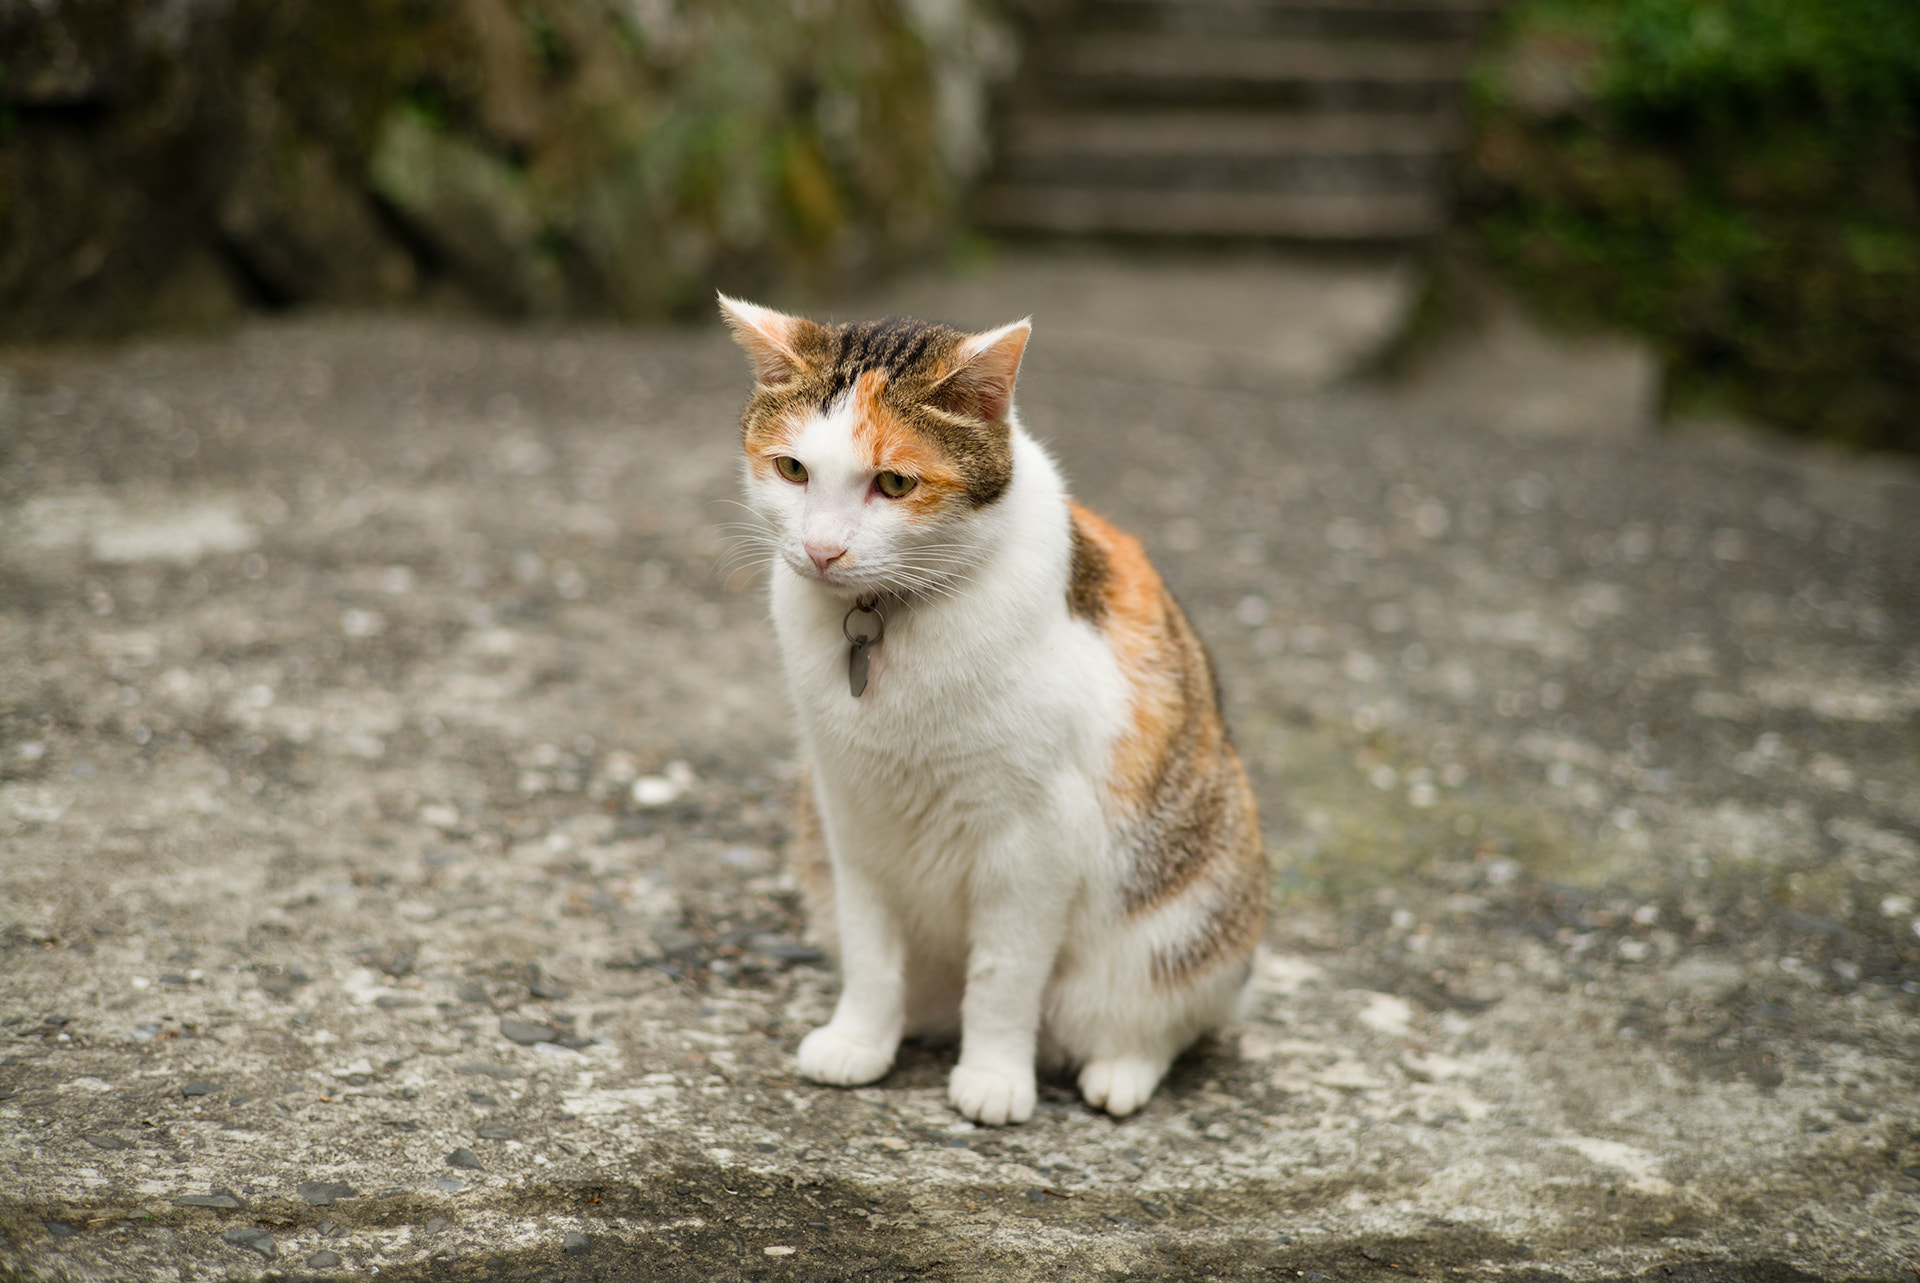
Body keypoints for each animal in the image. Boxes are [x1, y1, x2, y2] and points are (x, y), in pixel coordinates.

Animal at [718, 297, 1259, 1121]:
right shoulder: (852, 816)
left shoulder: (1035, 840)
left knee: (1158, 1020)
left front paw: (996, 1077)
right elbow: (871, 954)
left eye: (894, 482)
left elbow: (1004, 976)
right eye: (792, 469)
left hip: (1194, 913)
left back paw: (1117, 1073)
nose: (822, 550)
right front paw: (859, 1039)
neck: (886, 619)